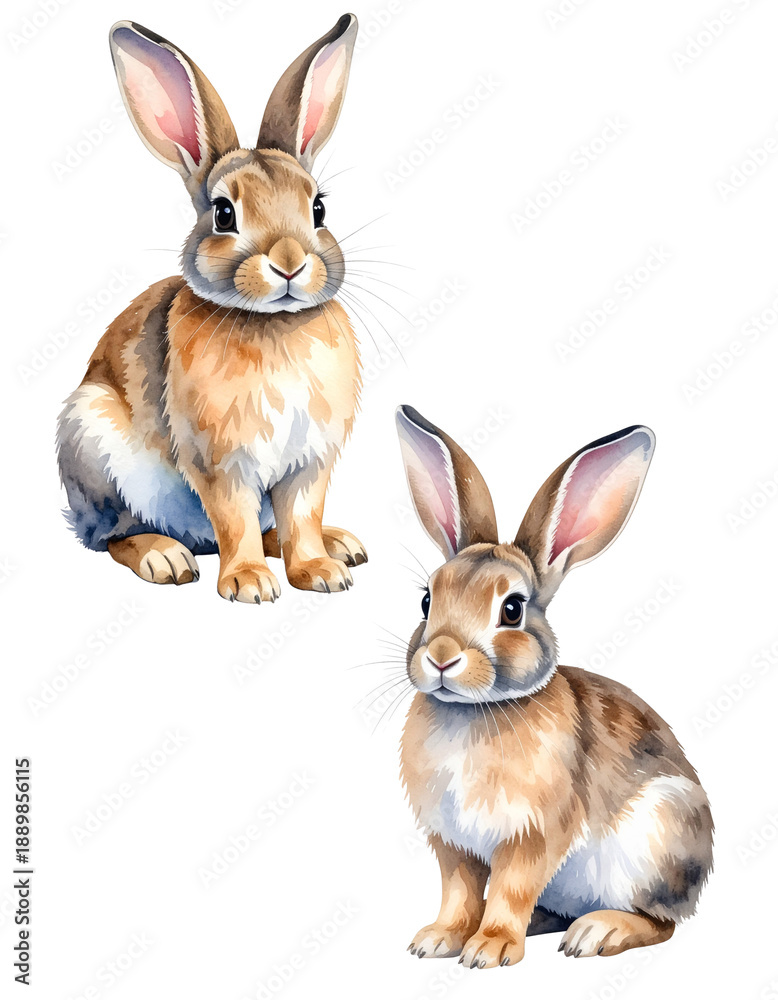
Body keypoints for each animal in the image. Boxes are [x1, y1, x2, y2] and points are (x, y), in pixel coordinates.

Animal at [56, 15, 368, 603]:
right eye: (224, 213)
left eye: (318, 208)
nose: (289, 263)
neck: (274, 324)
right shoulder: (221, 461)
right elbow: (234, 519)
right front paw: (249, 585)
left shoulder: (310, 462)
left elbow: (302, 519)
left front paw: (320, 573)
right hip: (93, 447)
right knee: (113, 537)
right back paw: (165, 558)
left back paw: (342, 545)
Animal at [394, 405, 713, 969]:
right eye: (427, 600)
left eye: (512, 609)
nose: (441, 657)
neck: (477, 710)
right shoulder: (452, 844)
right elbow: (459, 892)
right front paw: (437, 940)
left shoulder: (534, 835)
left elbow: (510, 888)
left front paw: (490, 949)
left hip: (654, 842)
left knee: (661, 923)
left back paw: (596, 932)